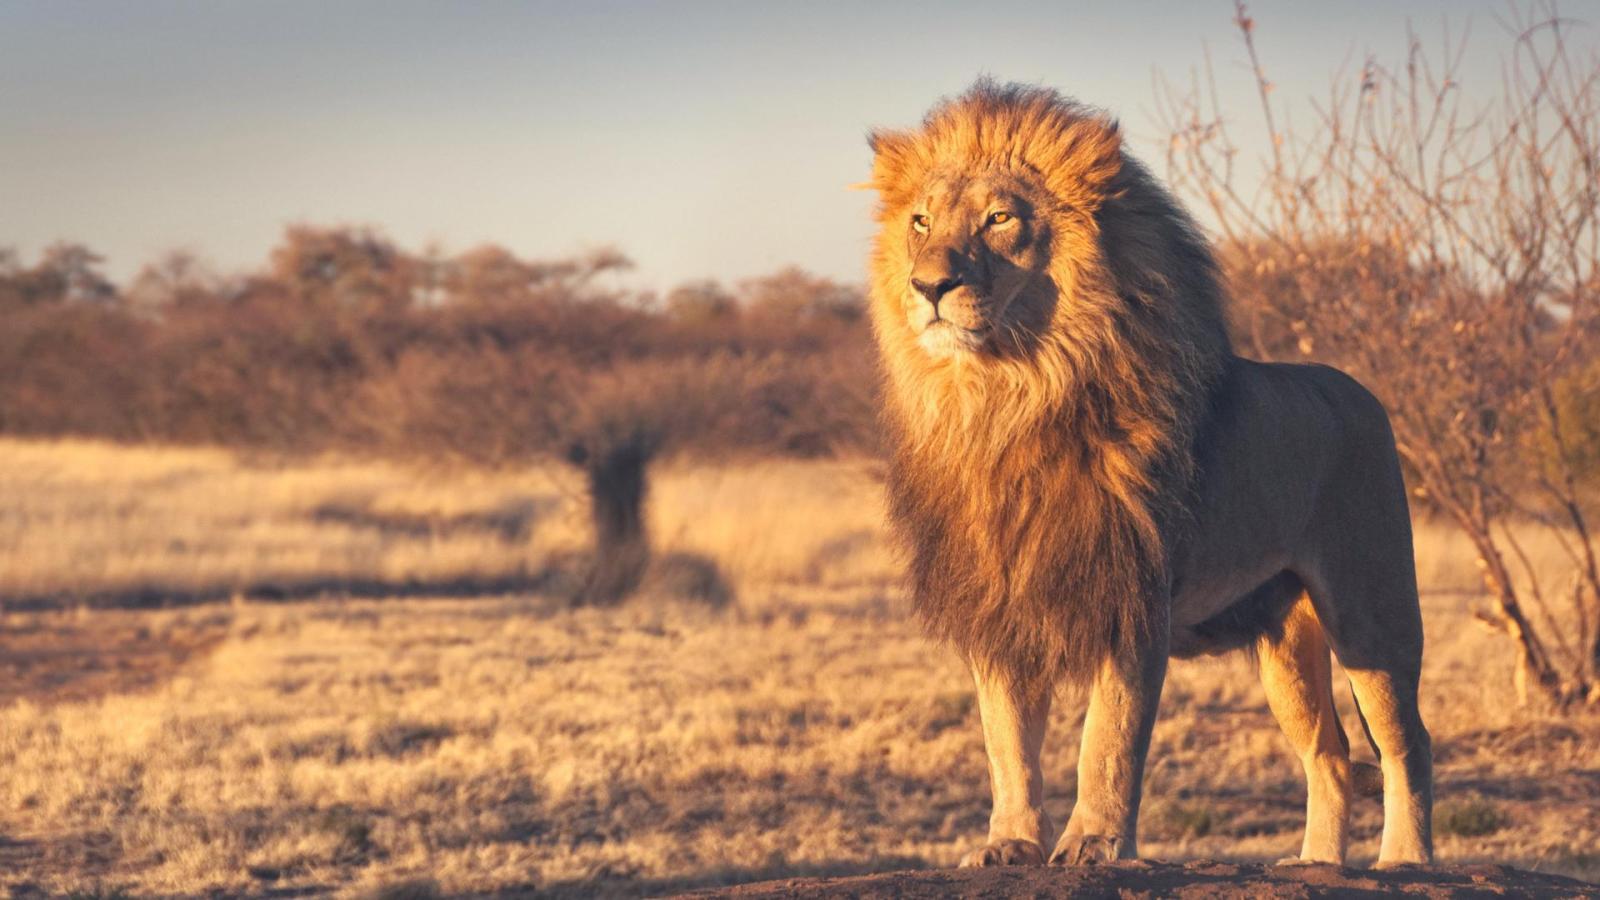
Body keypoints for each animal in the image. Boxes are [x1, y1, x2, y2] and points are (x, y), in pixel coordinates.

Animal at [864, 81, 1432, 869]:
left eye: (1000, 218)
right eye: (920, 221)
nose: (928, 285)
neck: (1007, 401)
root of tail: (1362, 392)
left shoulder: (1133, 593)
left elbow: (1108, 738)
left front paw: (1093, 844)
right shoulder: (999, 604)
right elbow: (1006, 742)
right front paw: (1009, 843)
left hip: (1371, 608)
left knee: (1407, 740)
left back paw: (1405, 860)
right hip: (1286, 642)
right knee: (1331, 752)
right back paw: (1316, 862)